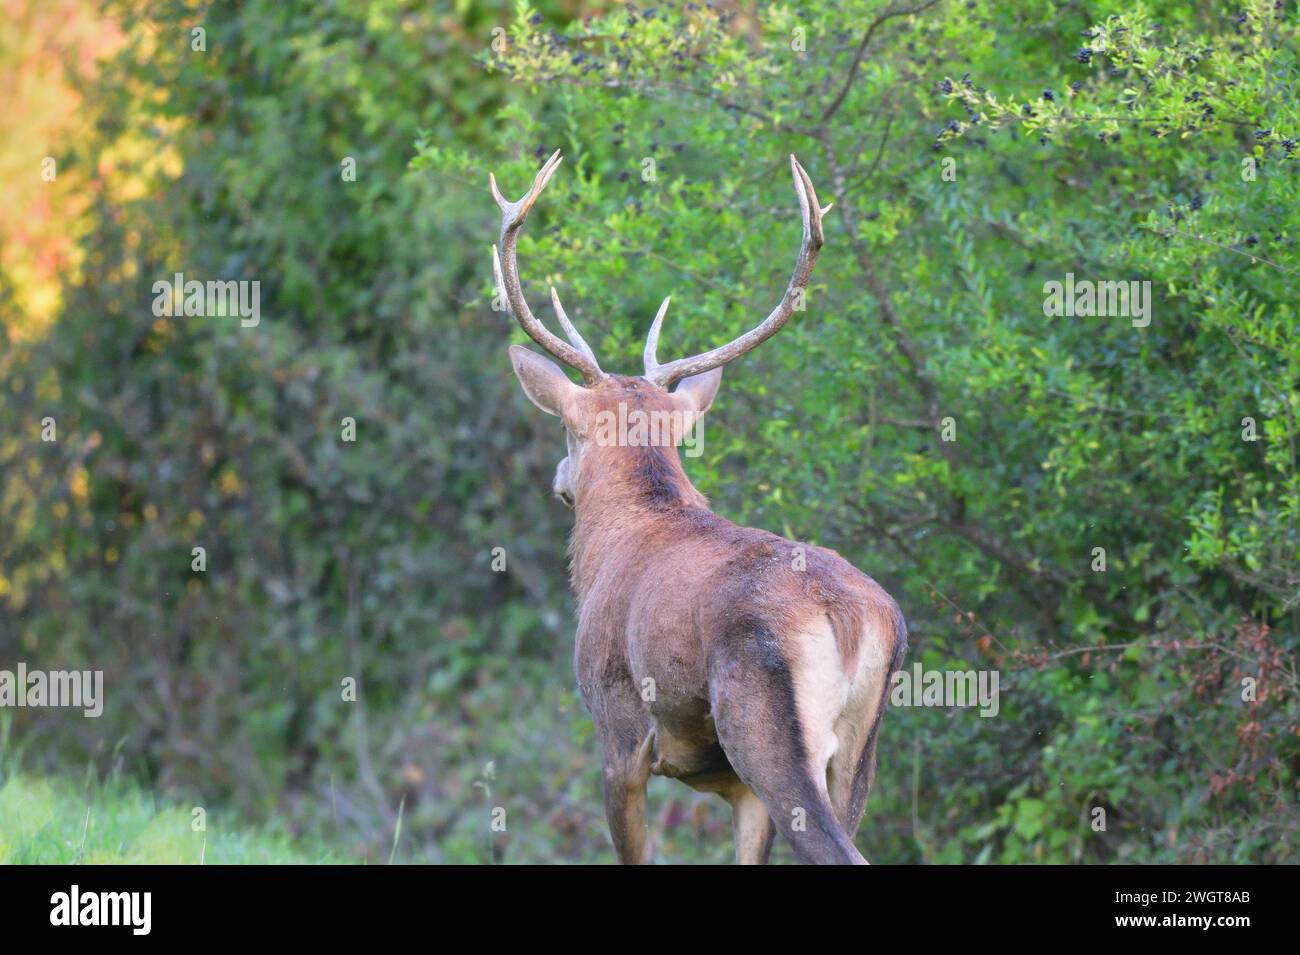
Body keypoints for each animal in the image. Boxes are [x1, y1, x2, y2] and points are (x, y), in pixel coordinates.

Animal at [491, 149, 909, 867]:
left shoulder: (617, 732)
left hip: (764, 726)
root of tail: (853, 617)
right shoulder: (736, 792)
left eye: (568, 430)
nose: (560, 479)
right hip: (860, 752)